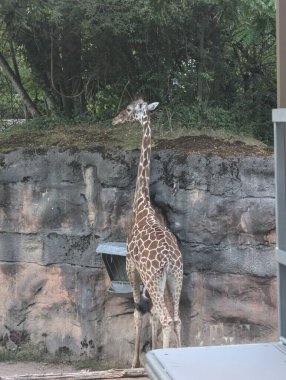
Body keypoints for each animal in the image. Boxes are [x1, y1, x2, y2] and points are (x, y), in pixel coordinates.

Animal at [111, 98, 183, 368]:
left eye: (130, 109)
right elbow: (150, 313)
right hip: (174, 278)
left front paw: (135, 363)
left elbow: (137, 312)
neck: (142, 204)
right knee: (175, 318)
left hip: (154, 277)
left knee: (165, 317)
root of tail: (170, 259)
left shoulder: (130, 265)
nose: (115, 119)